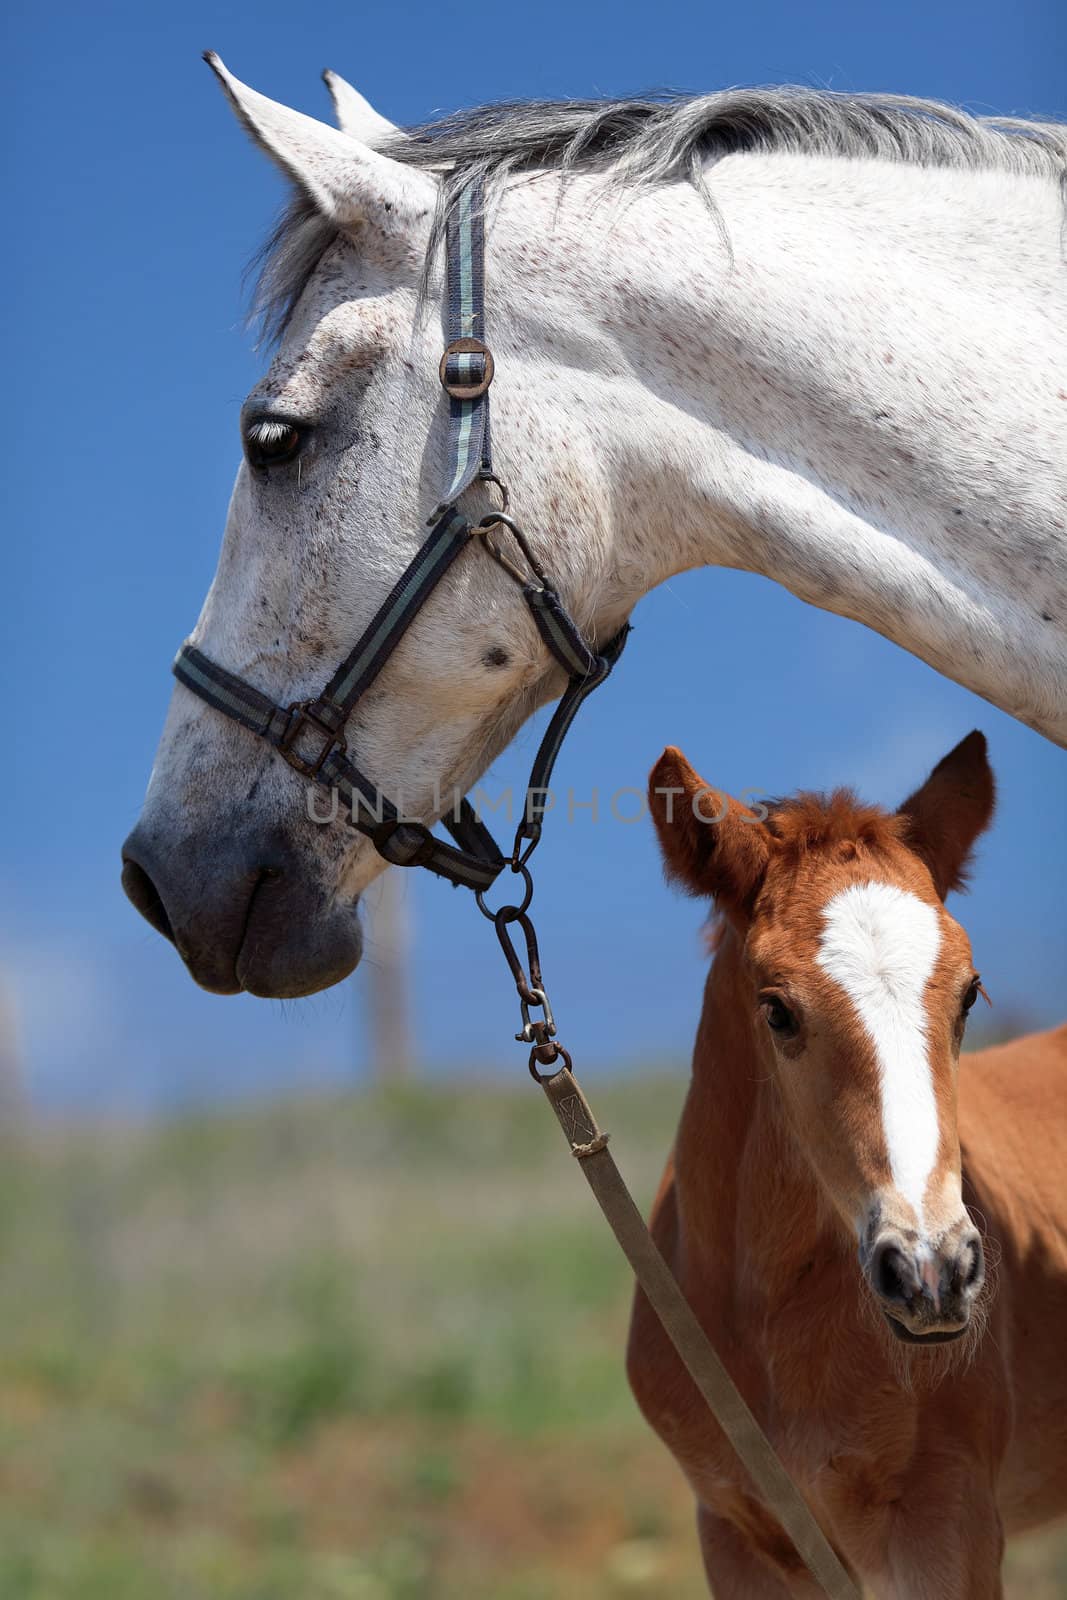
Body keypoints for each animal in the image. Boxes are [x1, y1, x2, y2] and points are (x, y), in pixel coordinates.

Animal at [630, 736, 1067, 1600]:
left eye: (969, 993)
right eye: (776, 1010)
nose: (933, 1271)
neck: (762, 1314)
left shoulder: (945, 1528)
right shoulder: (739, 1534)